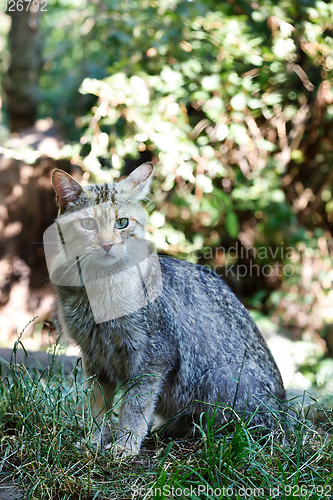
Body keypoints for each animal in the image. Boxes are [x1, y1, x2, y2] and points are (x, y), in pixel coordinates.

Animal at [49, 164, 286, 458]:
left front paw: (125, 445)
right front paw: (93, 442)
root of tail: (286, 416)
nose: (107, 244)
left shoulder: (152, 359)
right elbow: (97, 407)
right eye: (88, 224)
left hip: (219, 380)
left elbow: (134, 407)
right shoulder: (95, 358)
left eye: (122, 223)